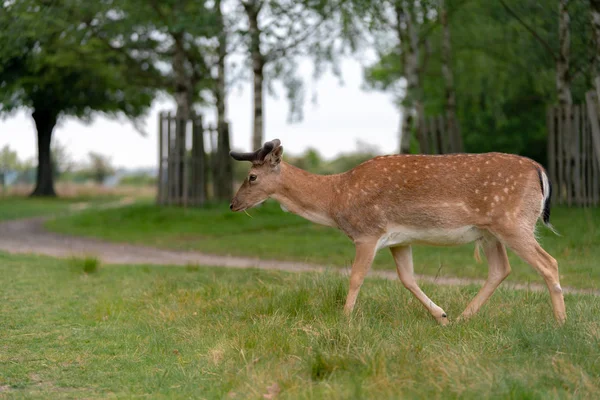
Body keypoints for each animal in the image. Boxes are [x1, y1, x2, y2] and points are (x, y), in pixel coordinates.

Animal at [227, 139, 564, 324]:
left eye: (252, 177)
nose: (233, 204)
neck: (336, 198)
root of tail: (540, 171)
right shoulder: (399, 240)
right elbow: (407, 279)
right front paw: (441, 316)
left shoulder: (368, 232)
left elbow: (356, 277)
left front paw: (344, 319)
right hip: (490, 232)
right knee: (500, 269)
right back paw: (462, 318)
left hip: (513, 222)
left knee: (549, 263)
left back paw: (561, 322)